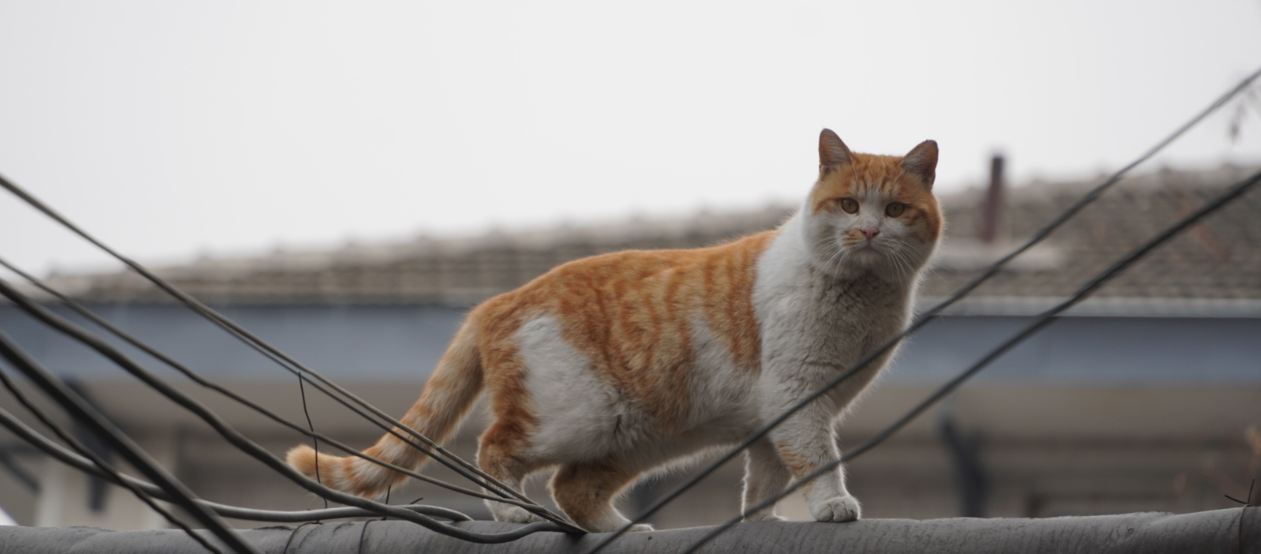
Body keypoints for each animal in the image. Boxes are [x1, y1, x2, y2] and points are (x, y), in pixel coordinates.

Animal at [286, 129, 938, 532]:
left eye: (896, 210)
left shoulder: (775, 415)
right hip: (574, 418)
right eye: (849, 205)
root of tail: (496, 301)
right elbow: (818, 460)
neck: (859, 297)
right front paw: (833, 506)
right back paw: (514, 515)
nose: (870, 232)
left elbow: (768, 476)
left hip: (632, 439)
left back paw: (622, 528)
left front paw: (761, 521)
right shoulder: (799, 397)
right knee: (494, 449)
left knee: (573, 488)